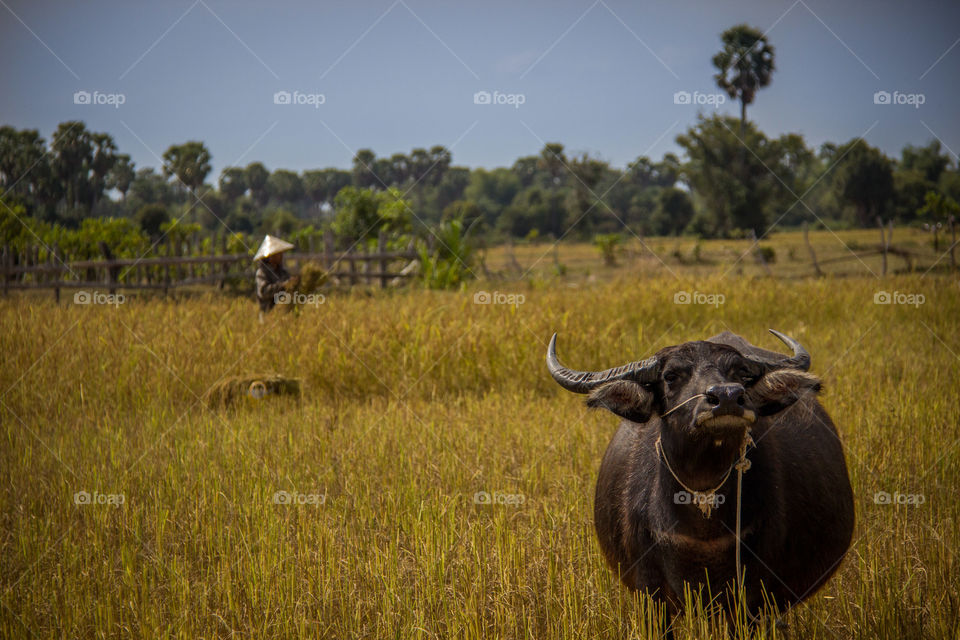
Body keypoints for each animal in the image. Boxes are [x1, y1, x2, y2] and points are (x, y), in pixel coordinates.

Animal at [548, 330, 856, 632]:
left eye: (740, 372)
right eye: (670, 376)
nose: (727, 396)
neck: (701, 532)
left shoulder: (751, 598)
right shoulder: (651, 595)